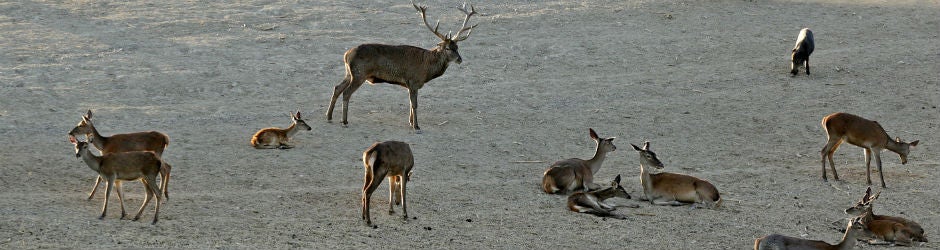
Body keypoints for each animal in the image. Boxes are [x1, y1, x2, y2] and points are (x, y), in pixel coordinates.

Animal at [328, 0, 478, 134]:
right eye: (447, 48)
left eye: (457, 47)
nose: (460, 59)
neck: (427, 69)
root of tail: (346, 54)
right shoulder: (413, 80)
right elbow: (415, 104)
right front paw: (416, 126)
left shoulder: (409, 84)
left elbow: (411, 103)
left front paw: (411, 122)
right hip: (359, 73)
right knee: (346, 92)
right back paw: (344, 121)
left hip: (349, 73)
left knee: (337, 87)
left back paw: (329, 116)